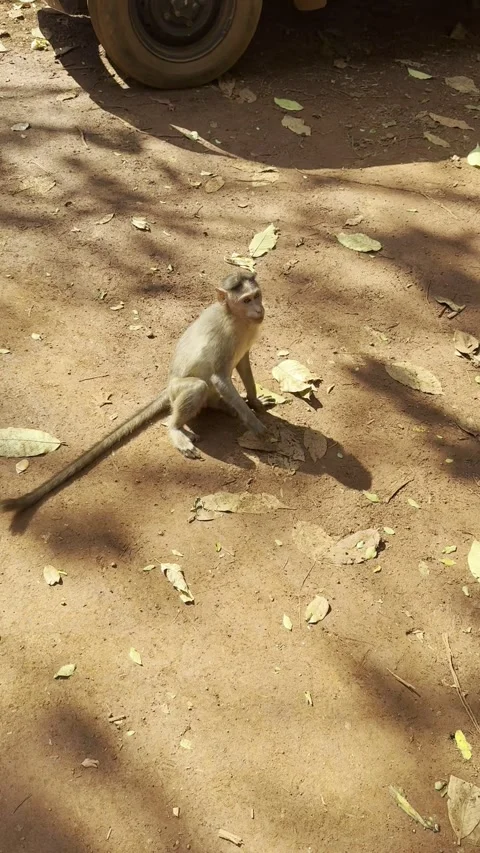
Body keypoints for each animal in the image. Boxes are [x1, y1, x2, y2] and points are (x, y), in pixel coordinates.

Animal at [0, 269, 267, 514]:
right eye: (246, 300)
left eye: (256, 296)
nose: (259, 310)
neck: (235, 318)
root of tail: (167, 388)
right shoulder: (224, 336)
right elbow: (220, 377)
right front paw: (255, 424)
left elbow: (243, 363)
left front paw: (255, 402)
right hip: (179, 390)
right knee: (198, 387)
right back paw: (176, 429)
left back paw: (226, 407)